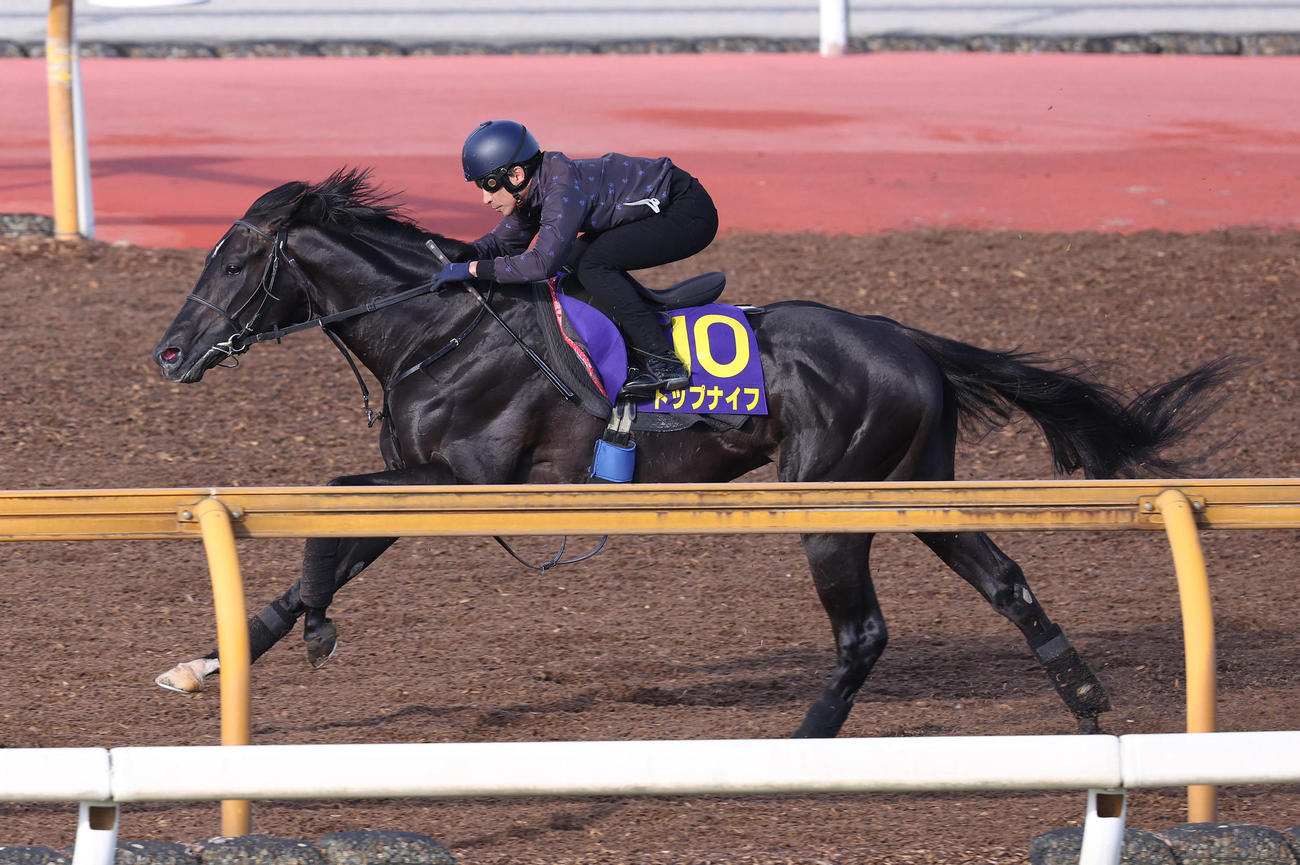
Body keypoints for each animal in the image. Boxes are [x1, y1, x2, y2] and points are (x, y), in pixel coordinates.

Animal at [151, 168, 1234, 738]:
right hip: (914, 488)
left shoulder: (462, 480)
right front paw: (206, 663)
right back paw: (1088, 705)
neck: (441, 326)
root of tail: (909, 340)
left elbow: (330, 511)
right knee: (1006, 580)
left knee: (864, 631)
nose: (166, 352)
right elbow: (330, 541)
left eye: (236, 259)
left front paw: (314, 629)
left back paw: (802, 745)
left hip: (829, 500)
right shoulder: (432, 482)